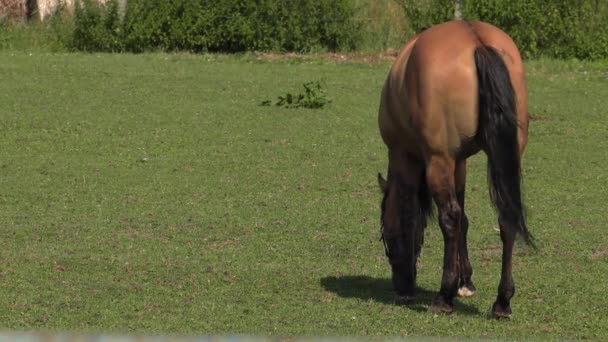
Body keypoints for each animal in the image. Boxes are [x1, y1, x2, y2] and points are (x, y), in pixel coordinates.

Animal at [378, 20, 536, 318]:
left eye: (386, 240)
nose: (400, 287)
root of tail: (476, 39)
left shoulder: (408, 157)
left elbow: (418, 214)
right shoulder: (459, 162)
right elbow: (465, 218)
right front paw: (467, 281)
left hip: (439, 160)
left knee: (449, 217)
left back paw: (444, 296)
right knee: (505, 217)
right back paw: (502, 301)